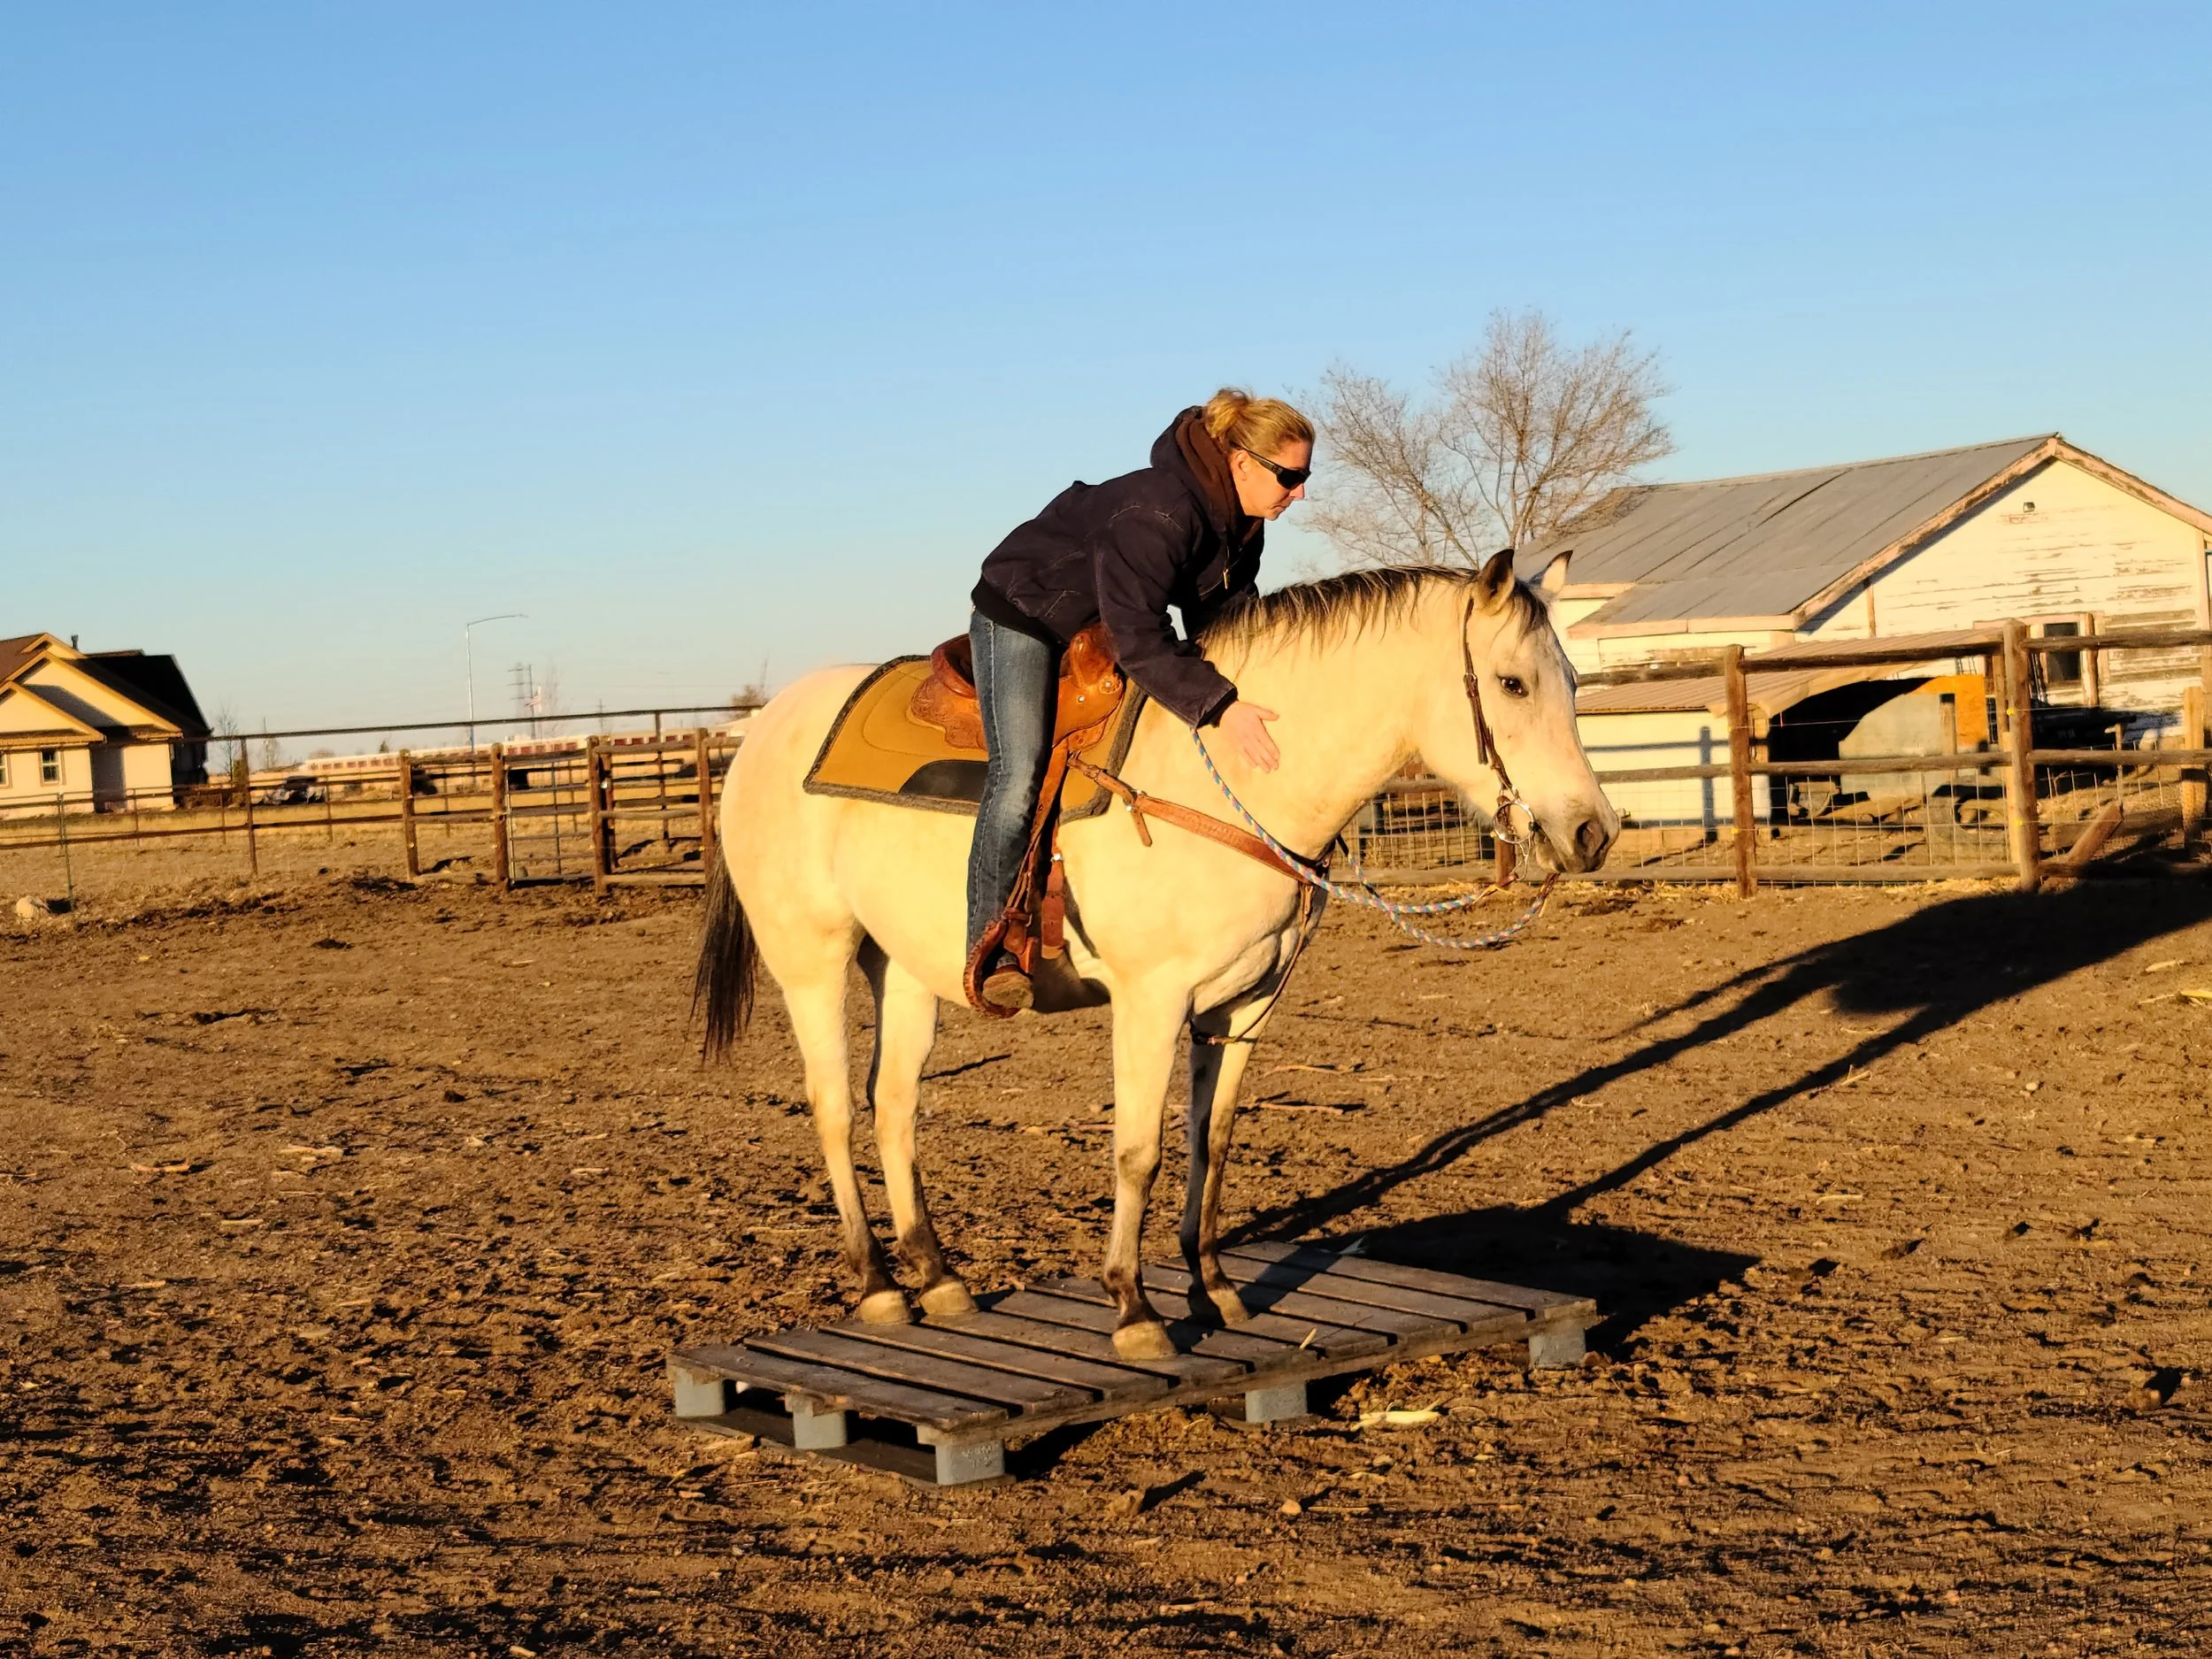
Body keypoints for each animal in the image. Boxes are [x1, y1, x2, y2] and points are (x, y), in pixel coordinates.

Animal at [694, 550, 1618, 1360]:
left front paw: (1214, 1289)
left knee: (893, 1104)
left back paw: (938, 1275)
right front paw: (1135, 1309)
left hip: (907, 970)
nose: (1593, 832)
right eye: (1512, 682)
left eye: (1573, 681)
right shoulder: (1151, 1001)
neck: (1231, 784)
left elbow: (1214, 1139)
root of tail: (763, 727)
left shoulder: (1244, 1005)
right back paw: (880, 1284)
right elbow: (1138, 1149)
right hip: (810, 959)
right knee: (835, 1107)